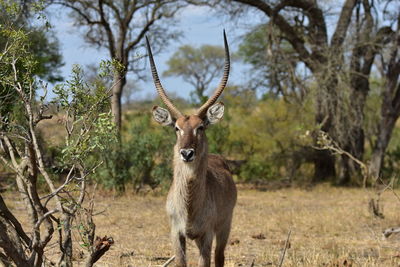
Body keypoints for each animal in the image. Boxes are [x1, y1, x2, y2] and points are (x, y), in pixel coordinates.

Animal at [145, 31, 236, 267]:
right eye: (176, 128)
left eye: (200, 127)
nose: (187, 153)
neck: (189, 206)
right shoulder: (177, 235)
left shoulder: (206, 236)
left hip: (224, 228)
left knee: (220, 257)